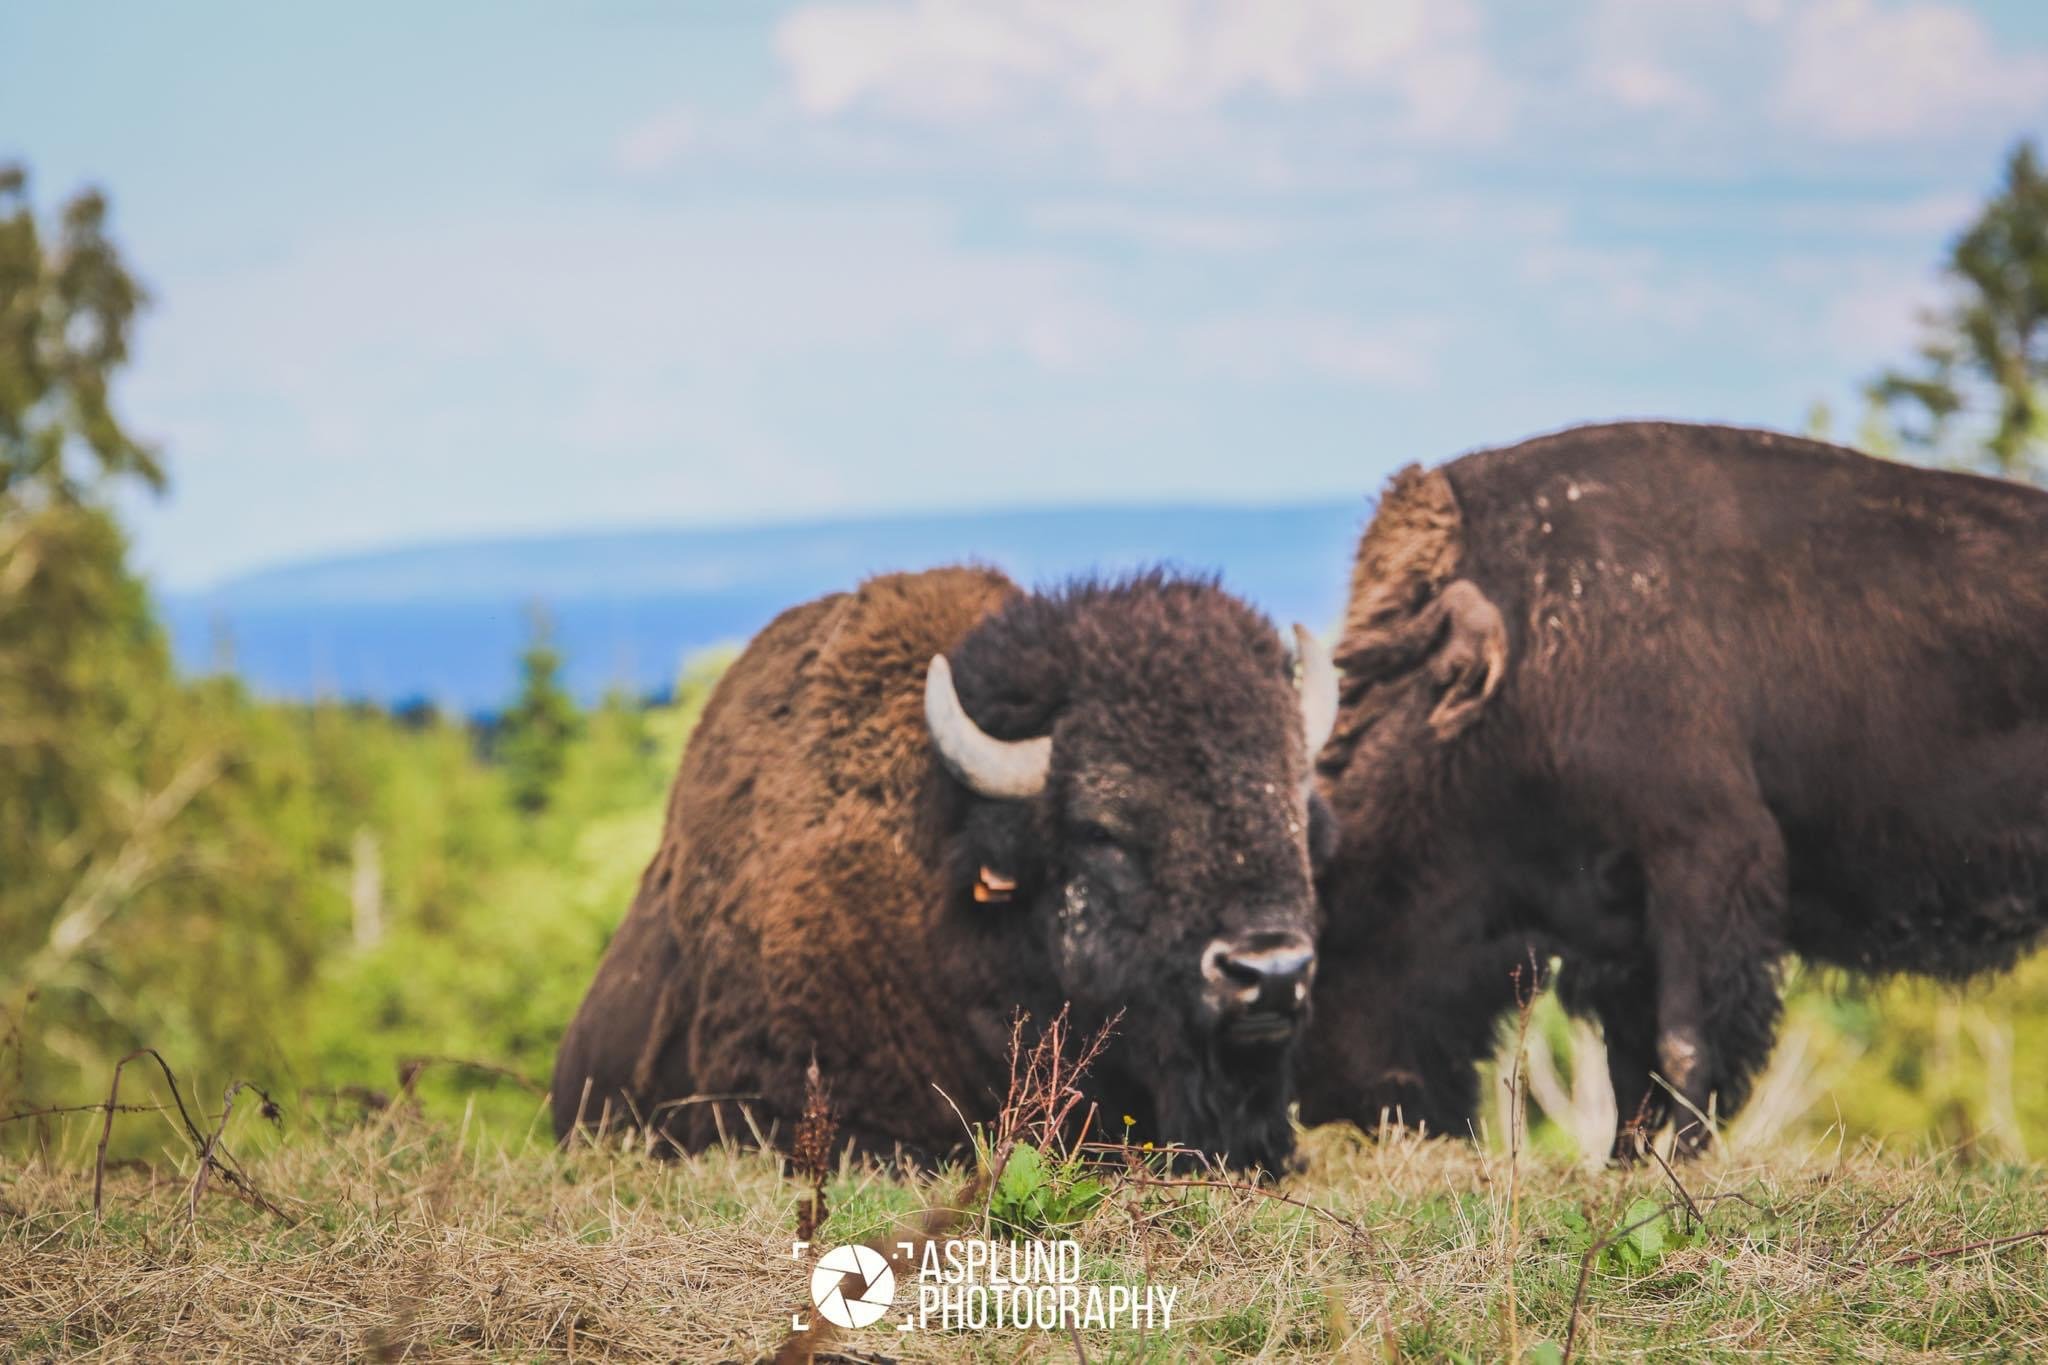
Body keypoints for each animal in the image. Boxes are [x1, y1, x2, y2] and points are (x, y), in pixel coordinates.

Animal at [1297, 420, 2048, 1155]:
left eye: (1339, 931)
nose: (1330, 1106)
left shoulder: (1704, 859)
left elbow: (1684, 1042)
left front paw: (1681, 1159)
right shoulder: (1619, 924)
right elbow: (1630, 1063)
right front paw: (1624, 1160)